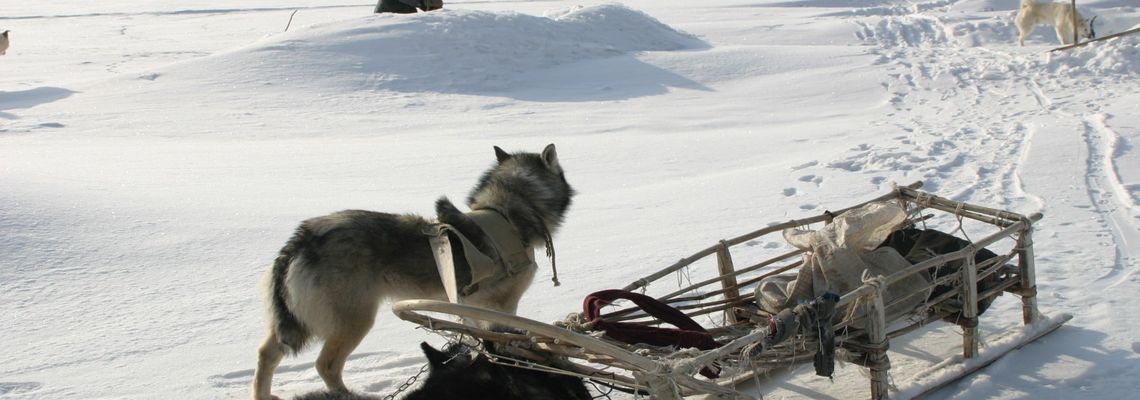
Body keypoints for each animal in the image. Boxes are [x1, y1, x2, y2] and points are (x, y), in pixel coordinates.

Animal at [249, 145, 570, 400]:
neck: (505, 212)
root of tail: (303, 237)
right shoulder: (502, 306)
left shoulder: (473, 307)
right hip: (355, 320)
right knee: (326, 365)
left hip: (294, 323)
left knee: (266, 355)